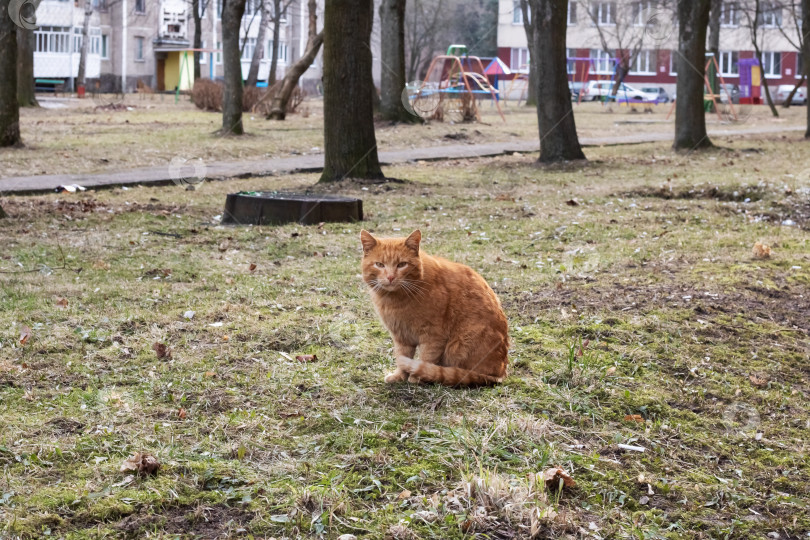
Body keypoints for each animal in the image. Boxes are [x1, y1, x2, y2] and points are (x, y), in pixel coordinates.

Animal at [358, 230, 504, 386]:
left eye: (402, 264)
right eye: (379, 264)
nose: (390, 277)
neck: (396, 300)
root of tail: (500, 373)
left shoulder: (433, 335)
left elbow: (426, 358)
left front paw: (417, 377)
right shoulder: (401, 336)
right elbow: (402, 355)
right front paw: (399, 376)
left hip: (462, 343)